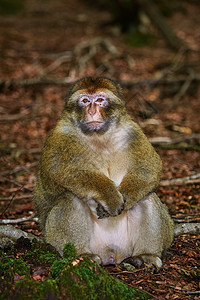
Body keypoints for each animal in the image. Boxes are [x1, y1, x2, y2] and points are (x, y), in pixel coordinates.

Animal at [33, 77, 173, 268]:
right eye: (85, 101)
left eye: (100, 100)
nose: (92, 111)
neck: (99, 137)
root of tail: (111, 253)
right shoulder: (61, 137)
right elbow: (62, 171)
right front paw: (110, 197)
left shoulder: (133, 132)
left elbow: (149, 167)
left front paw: (124, 196)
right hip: (54, 238)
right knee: (71, 197)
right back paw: (82, 255)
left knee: (146, 197)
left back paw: (146, 255)